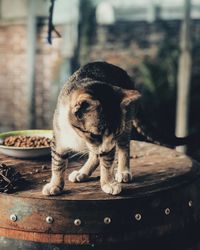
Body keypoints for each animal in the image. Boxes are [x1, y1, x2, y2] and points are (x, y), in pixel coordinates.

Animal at [42, 61, 141, 195]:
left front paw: (108, 182)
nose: (105, 150)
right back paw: (82, 172)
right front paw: (55, 184)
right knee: (95, 155)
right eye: (95, 135)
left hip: (127, 121)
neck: (78, 135)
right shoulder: (59, 136)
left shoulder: (110, 143)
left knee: (124, 145)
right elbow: (58, 161)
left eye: (115, 134)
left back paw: (123, 171)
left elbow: (107, 163)